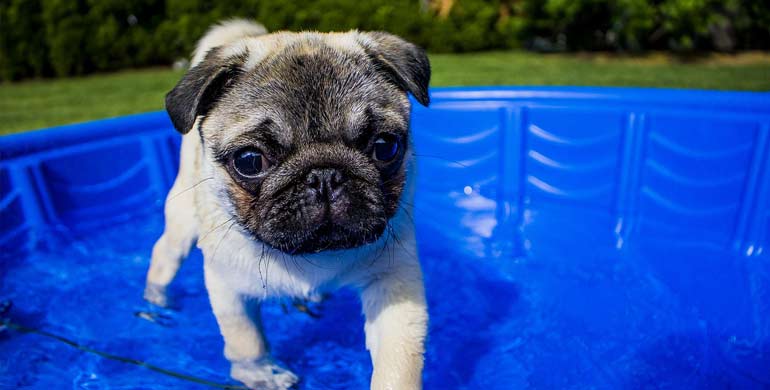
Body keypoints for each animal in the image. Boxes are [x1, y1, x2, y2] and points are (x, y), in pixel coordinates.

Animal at [143, 20, 428, 390]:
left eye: (385, 147)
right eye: (249, 161)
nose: (324, 176)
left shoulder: (393, 283)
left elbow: (398, 361)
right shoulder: (227, 285)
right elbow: (246, 339)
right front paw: (260, 372)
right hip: (182, 221)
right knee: (164, 255)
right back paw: (155, 300)